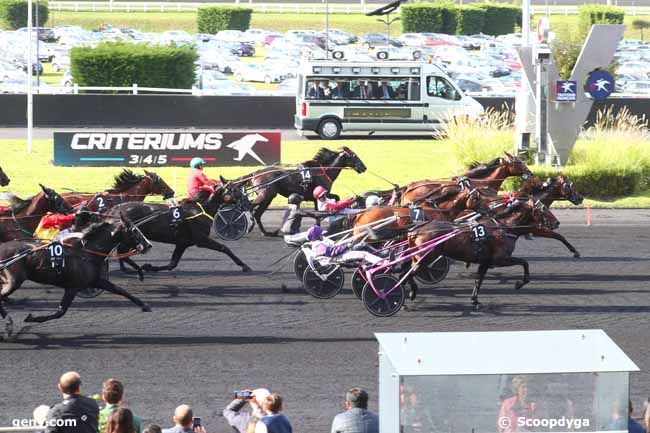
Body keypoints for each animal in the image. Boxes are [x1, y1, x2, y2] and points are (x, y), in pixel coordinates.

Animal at [234, 148, 368, 236]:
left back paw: (267, 232)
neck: (323, 170)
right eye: (354, 156)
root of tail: (256, 173)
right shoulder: (322, 193)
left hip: (268, 197)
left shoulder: (317, 197)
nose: (364, 167)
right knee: (250, 207)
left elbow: (327, 206)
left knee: (258, 213)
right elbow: (328, 205)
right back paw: (248, 225)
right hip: (266, 194)